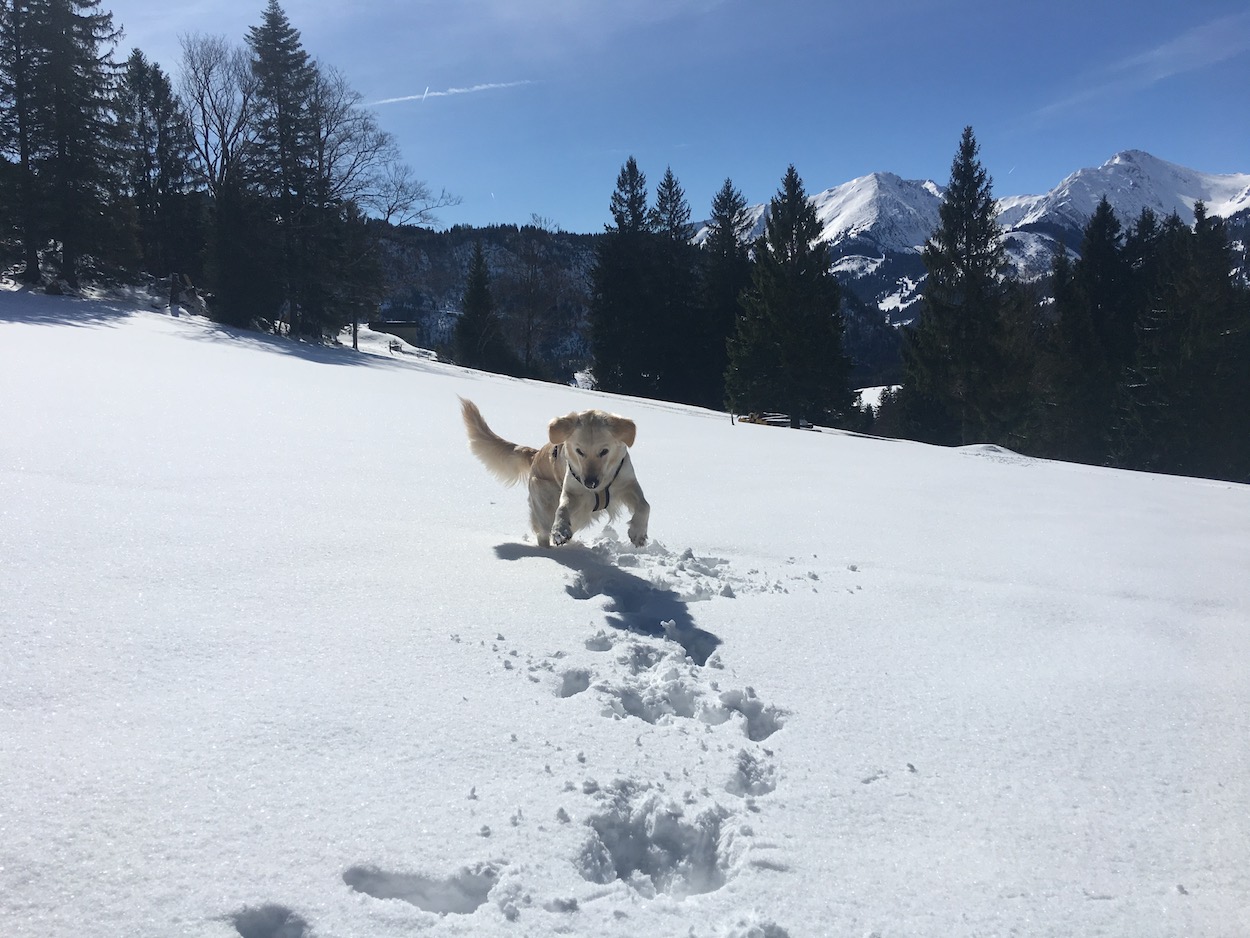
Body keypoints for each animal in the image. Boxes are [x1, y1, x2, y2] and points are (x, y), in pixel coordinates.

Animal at [462, 397, 655, 550]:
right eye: (579, 451)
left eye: (604, 451)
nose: (590, 483)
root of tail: (535, 455)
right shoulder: (572, 490)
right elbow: (562, 508)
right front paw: (560, 530)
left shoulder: (627, 483)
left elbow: (645, 505)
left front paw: (638, 533)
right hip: (545, 502)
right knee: (543, 531)